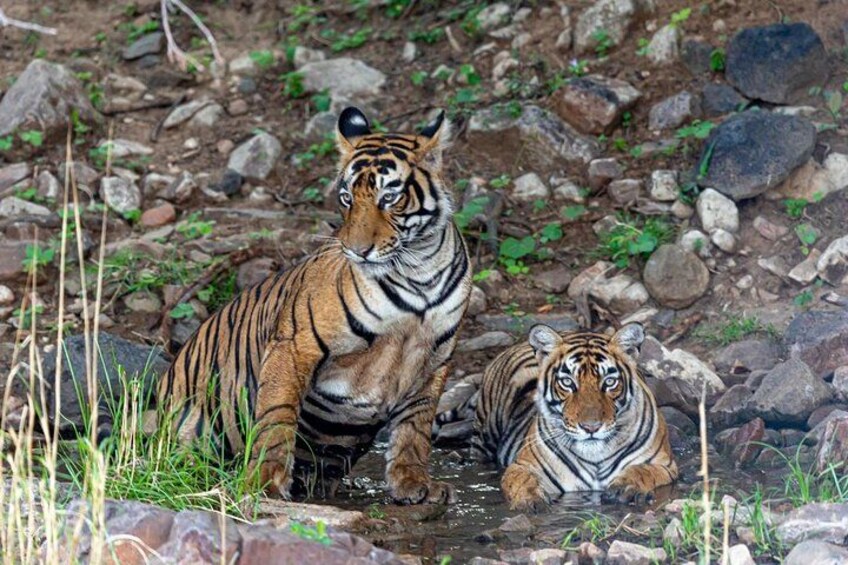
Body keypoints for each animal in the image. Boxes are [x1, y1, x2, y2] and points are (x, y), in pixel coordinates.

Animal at [152, 107, 471, 504]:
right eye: (347, 198)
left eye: (388, 198)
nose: (356, 250)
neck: (418, 272)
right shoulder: (295, 345)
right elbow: (277, 415)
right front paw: (265, 483)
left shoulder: (434, 360)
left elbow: (416, 426)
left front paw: (414, 484)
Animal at [473, 323, 677, 511]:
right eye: (567, 382)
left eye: (610, 382)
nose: (591, 427)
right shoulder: (522, 465)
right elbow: (521, 481)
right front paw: (530, 500)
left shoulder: (664, 464)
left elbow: (641, 470)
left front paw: (623, 487)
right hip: (485, 435)